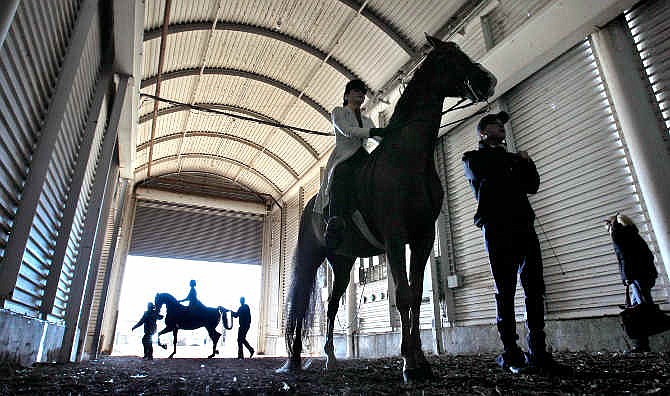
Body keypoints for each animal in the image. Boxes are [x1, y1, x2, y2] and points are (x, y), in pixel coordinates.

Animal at [276, 35, 498, 382]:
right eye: (449, 58)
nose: (487, 80)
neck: (410, 160)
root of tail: (311, 203)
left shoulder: (422, 238)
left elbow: (417, 295)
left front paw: (421, 361)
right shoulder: (395, 238)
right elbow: (404, 294)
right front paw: (409, 363)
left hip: (342, 263)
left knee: (332, 305)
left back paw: (330, 357)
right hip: (313, 255)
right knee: (300, 299)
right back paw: (296, 358)